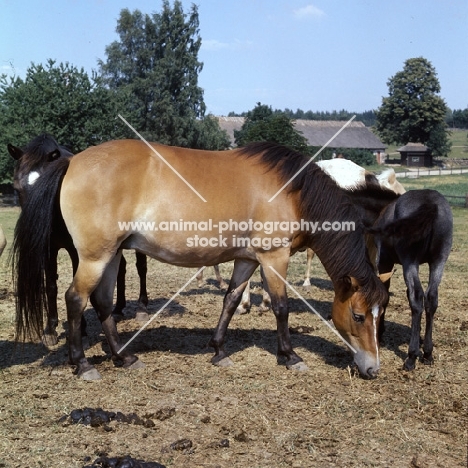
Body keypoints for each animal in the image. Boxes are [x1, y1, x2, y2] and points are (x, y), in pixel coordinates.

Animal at [11, 140, 392, 380]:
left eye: (380, 315)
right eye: (358, 315)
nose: (373, 368)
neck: (293, 192)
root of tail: (71, 161)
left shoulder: (247, 259)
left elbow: (231, 300)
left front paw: (219, 350)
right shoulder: (273, 258)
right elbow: (281, 307)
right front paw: (290, 355)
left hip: (111, 254)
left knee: (103, 303)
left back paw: (124, 356)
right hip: (94, 256)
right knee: (75, 299)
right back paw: (82, 364)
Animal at [372, 188, 452, 372]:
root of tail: (430, 202)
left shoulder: (384, 262)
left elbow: (385, 294)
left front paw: (380, 331)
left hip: (410, 262)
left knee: (416, 298)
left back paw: (411, 357)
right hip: (438, 261)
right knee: (431, 298)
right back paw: (427, 353)